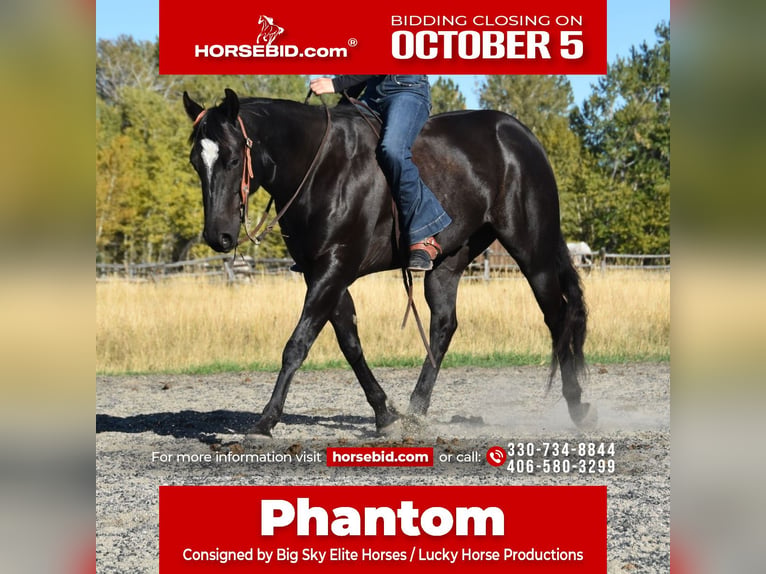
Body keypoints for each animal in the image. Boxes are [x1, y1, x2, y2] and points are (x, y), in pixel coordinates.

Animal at [182, 88, 592, 436]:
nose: (217, 236)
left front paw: (266, 420)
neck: (320, 166)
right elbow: (349, 343)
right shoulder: (322, 273)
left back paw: (577, 405)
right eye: (196, 162)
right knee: (444, 326)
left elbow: (297, 344)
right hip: (447, 263)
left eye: (233, 158)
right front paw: (384, 413)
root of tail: (520, 135)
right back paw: (415, 410)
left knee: (558, 317)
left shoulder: (334, 267)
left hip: (532, 250)